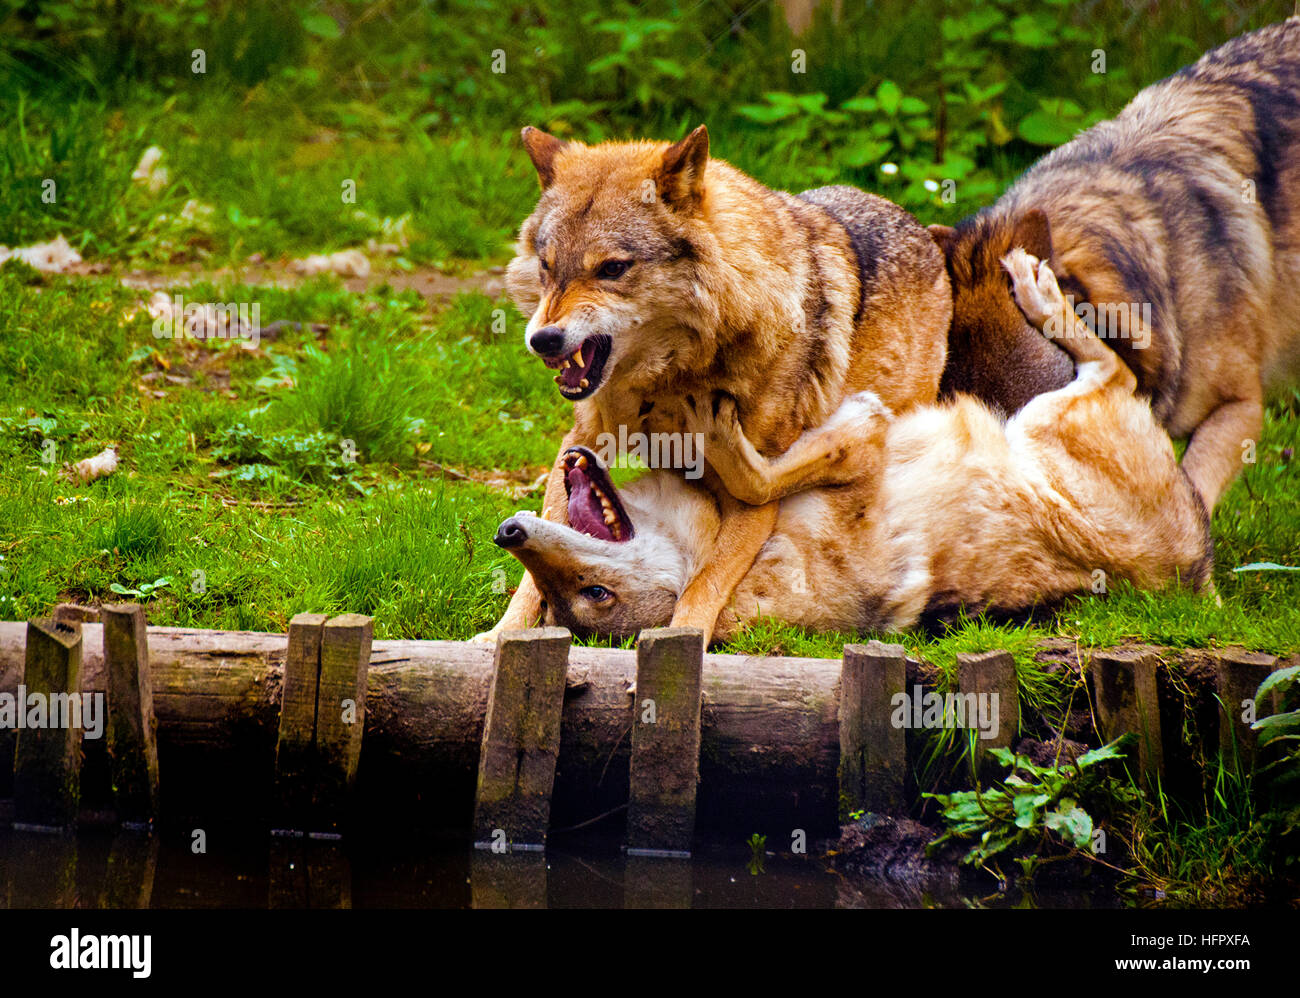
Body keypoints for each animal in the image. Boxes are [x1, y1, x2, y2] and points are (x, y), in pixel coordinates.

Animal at [483, 124, 951, 644]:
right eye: (546, 266)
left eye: (612, 268)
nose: (543, 339)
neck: (668, 386)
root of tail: (916, 223)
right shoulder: (578, 443)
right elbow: (535, 570)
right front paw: (496, 636)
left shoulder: (750, 504)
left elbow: (702, 584)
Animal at [491, 252, 1211, 639]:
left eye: (593, 595)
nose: (507, 532)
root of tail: (1197, 566)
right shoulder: (848, 464)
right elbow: (794, 463)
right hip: (1045, 420)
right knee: (1112, 369)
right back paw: (1039, 292)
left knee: (1113, 364)